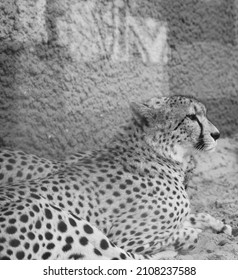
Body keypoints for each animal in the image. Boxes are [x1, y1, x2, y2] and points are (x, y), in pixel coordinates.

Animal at [0, 95, 233, 260]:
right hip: (46, 211)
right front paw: (192, 234)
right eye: (191, 117)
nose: (217, 134)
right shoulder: (126, 238)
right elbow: (189, 234)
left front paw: (218, 224)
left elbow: (193, 216)